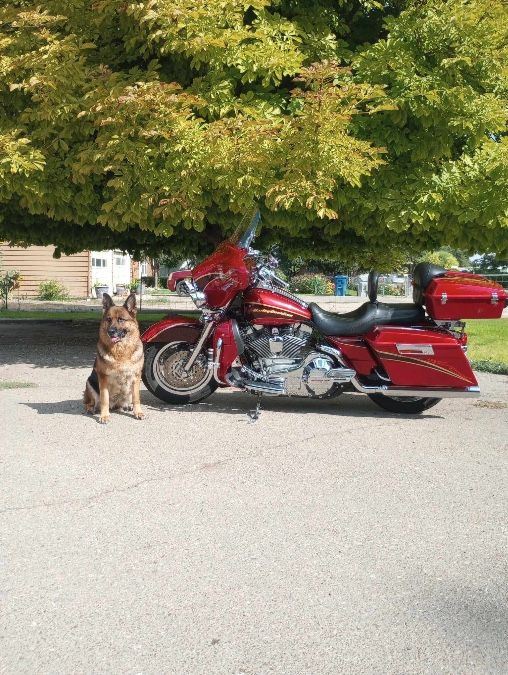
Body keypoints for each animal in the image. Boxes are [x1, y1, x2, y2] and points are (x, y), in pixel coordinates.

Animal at [82, 294, 144, 426]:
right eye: (109, 319)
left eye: (121, 319)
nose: (110, 331)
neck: (121, 352)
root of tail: (116, 405)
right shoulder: (103, 378)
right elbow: (104, 399)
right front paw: (104, 416)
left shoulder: (136, 377)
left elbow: (137, 398)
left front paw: (138, 412)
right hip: (90, 383)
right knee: (89, 402)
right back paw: (91, 408)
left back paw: (128, 406)